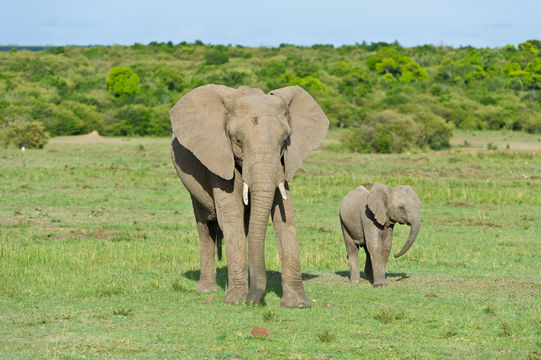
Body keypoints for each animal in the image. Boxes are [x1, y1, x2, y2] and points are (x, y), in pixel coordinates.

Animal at [169, 84, 330, 306]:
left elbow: (285, 216)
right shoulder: (219, 156)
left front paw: (298, 304)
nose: (252, 302)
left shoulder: (281, 165)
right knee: (206, 225)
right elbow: (231, 215)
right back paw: (207, 290)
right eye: (237, 140)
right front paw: (236, 301)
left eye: (285, 141)